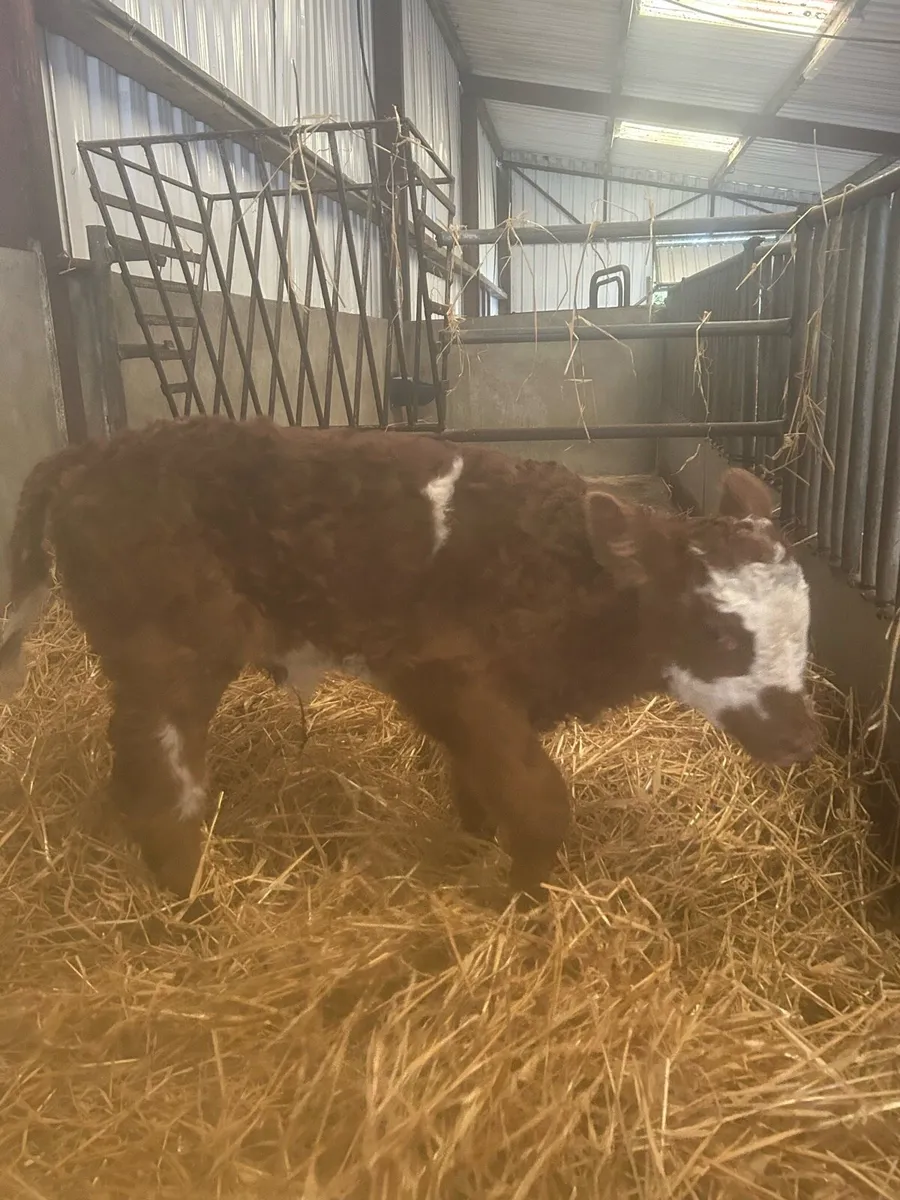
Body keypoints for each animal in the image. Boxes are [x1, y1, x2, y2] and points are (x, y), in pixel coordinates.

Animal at [0, 417, 818, 904]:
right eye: (717, 631)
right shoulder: (447, 675)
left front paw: (472, 851)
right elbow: (540, 804)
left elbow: (480, 785)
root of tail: (93, 453)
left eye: (805, 629)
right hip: (166, 652)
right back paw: (188, 900)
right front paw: (520, 900)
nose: (797, 737)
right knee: (159, 776)